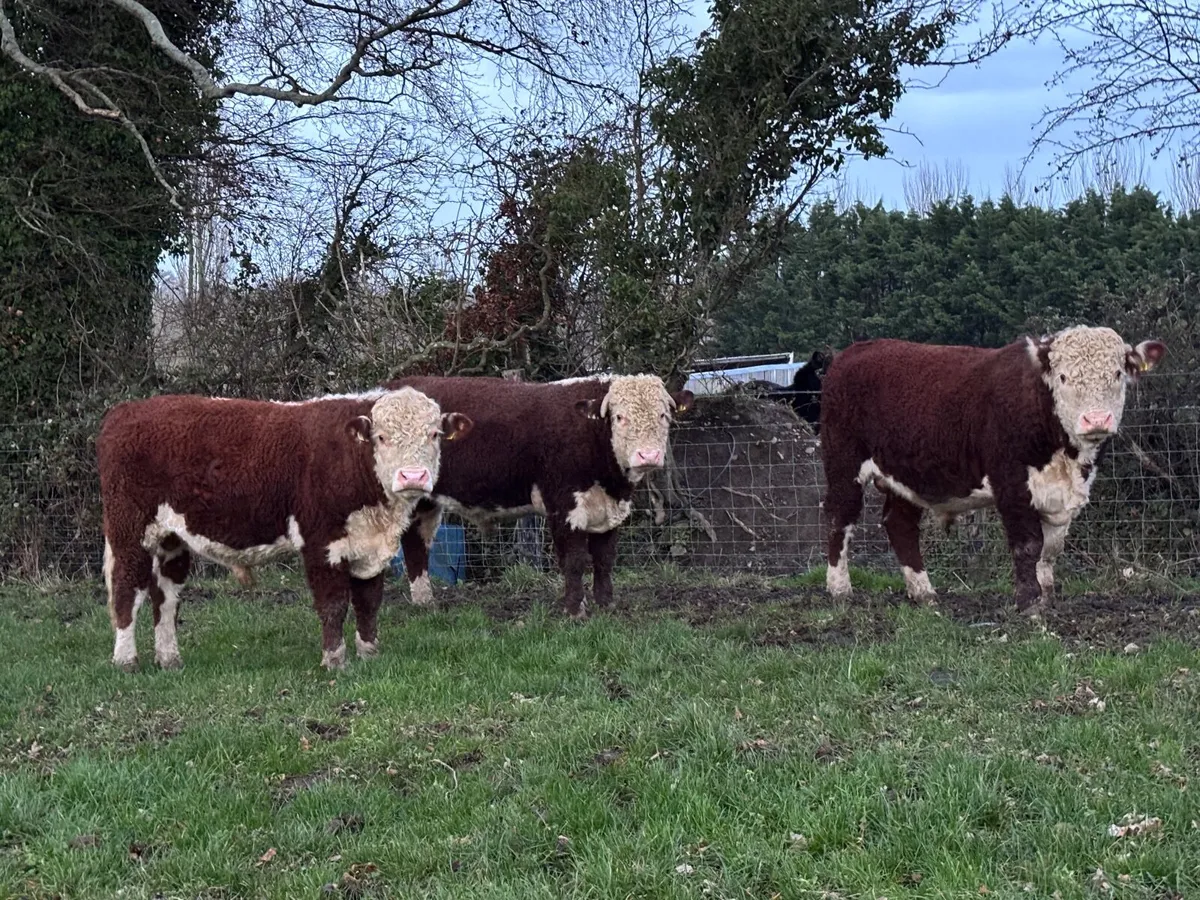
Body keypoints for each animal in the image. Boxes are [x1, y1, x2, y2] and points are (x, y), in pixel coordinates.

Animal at [96, 388, 474, 671]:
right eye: (381, 437)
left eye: (434, 434)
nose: (413, 476)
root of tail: (126, 411)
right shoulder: (321, 542)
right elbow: (334, 603)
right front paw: (335, 662)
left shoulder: (370, 548)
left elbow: (368, 602)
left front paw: (369, 654)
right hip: (131, 530)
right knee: (128, 589)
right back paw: (126, 661)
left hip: (171, 538)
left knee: (166, 596)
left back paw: (169, 659)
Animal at [382, 374, 694, 619]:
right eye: (620, 417)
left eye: (663, 415)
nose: (648, 455)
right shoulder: (564, 506)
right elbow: (574, 561)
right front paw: (575, 610)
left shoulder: (610, 510)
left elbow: (605, 558)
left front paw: (606, 605)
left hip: (424, 500)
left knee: (416, 544)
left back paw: (425, 602)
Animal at [819, 326, 1165, 615]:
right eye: (1064, 377)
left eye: (1118, 373)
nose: (1096, 419)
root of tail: (855, 351)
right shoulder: (1011, 482)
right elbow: (1028, 544)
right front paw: (1028, 602)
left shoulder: (1062, 495)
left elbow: (1051, 548)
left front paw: (1046, 596)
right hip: (844, 462)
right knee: (840, 518)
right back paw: (840, 589)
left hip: (905, 474)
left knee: (900, 524)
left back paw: (923, 593)